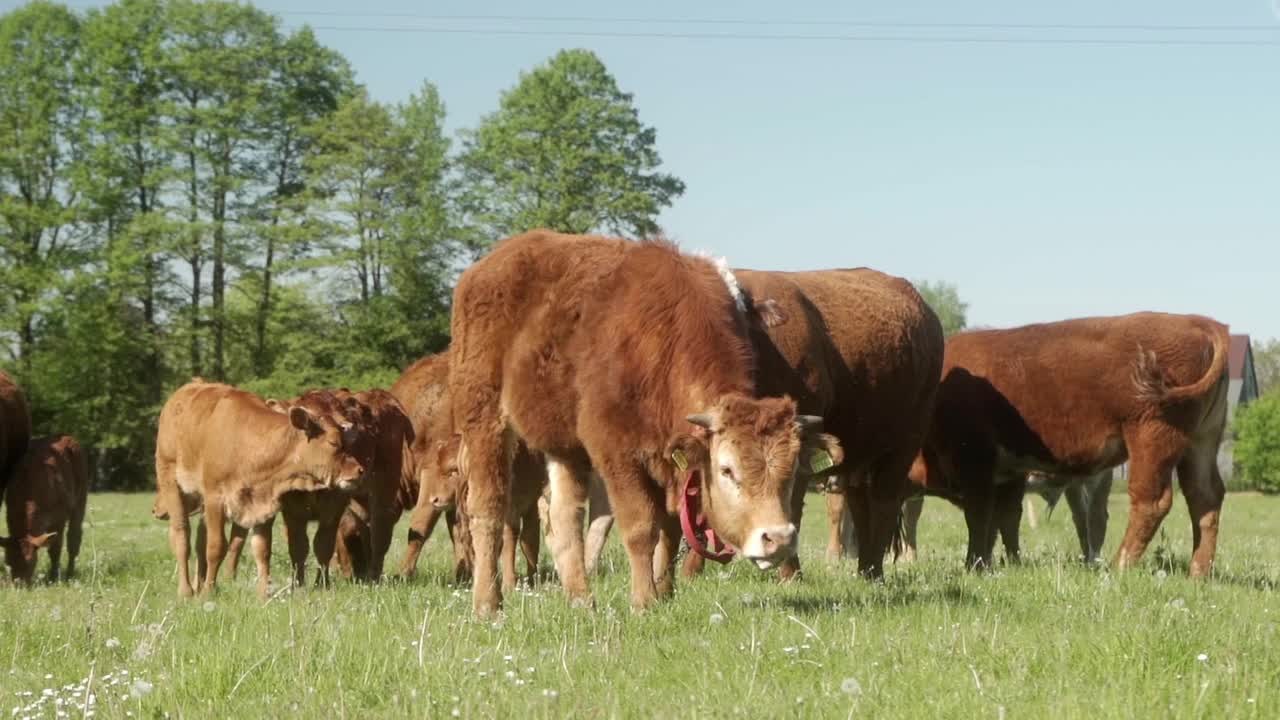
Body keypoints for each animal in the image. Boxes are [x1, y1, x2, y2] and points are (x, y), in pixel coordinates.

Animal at [1, 435, 87, 579]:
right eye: (7, 561)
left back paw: (69, 574)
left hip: (81, 499)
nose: (18, 583)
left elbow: (55, 548)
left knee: (74, 538)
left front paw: (53, 577)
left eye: (30, 561)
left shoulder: (59, 517)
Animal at [156, 379, 366, 597]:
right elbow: (215, 547)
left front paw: (264, 593)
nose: (359, 470)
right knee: (182, 536)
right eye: (334, 442)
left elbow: (262, 549)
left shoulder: (265, 503)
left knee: (199, 539)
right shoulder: (215, 499)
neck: (247, 447)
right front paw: (208, 592)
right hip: (171, 482)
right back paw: (186, 590)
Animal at [445, 229, 844, 609]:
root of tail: (490, 263)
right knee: (488, 509)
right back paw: (488, 603)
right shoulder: (616, 453)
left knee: (563, 517)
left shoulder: (669, 459)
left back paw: (581, 600)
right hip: (485, 421)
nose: (778, 539)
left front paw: (664, 591)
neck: (659, 341)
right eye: (727, 470)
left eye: (789, 471)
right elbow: (641, 527)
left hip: (564, 446)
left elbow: (670, 527)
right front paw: (644, 599)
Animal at [911, 311, 1228, 573]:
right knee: (1205, 498)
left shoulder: (976, 463)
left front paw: (973, 565)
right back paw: (1198, 573)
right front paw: (1000, 564)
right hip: (1200, 442)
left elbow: (979, 519)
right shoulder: (1007, 475)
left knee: (1151, 502)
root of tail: (1197, 321)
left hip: (1151, 438)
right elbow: (1002, 521)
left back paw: (1119, 566)